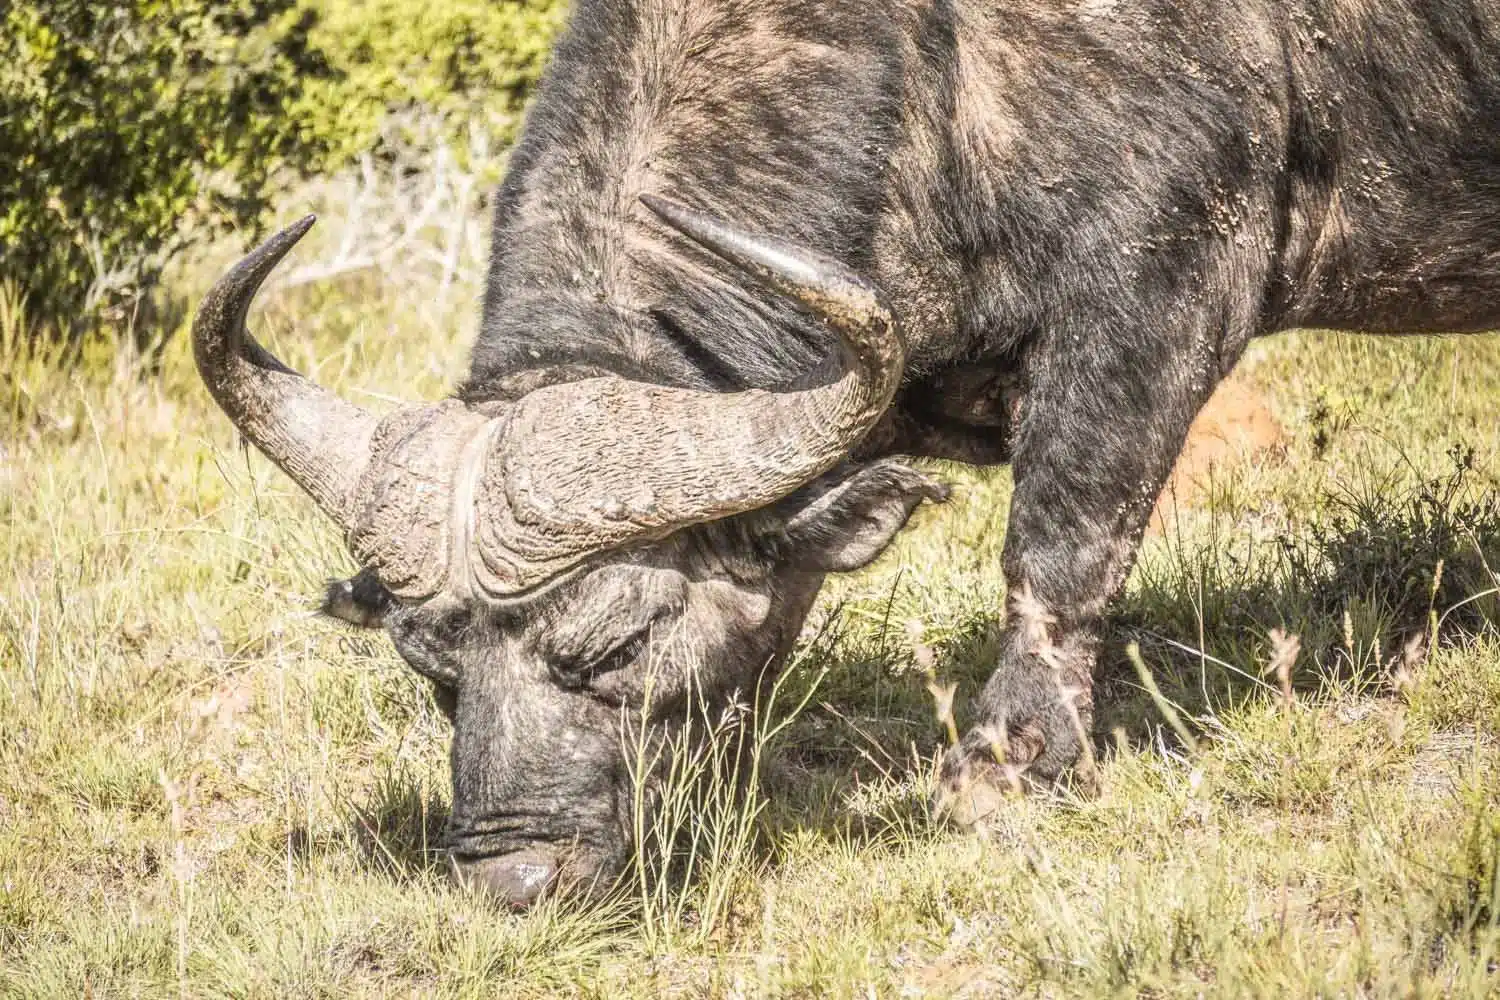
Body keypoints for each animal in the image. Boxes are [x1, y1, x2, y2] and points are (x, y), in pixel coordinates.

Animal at [195, 0, 1500, 906]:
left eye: (615, 644)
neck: (941, 71)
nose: (513, 880)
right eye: (430, 668)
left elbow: (1063, 540)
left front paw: (1009, 767)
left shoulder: (1159, 298)